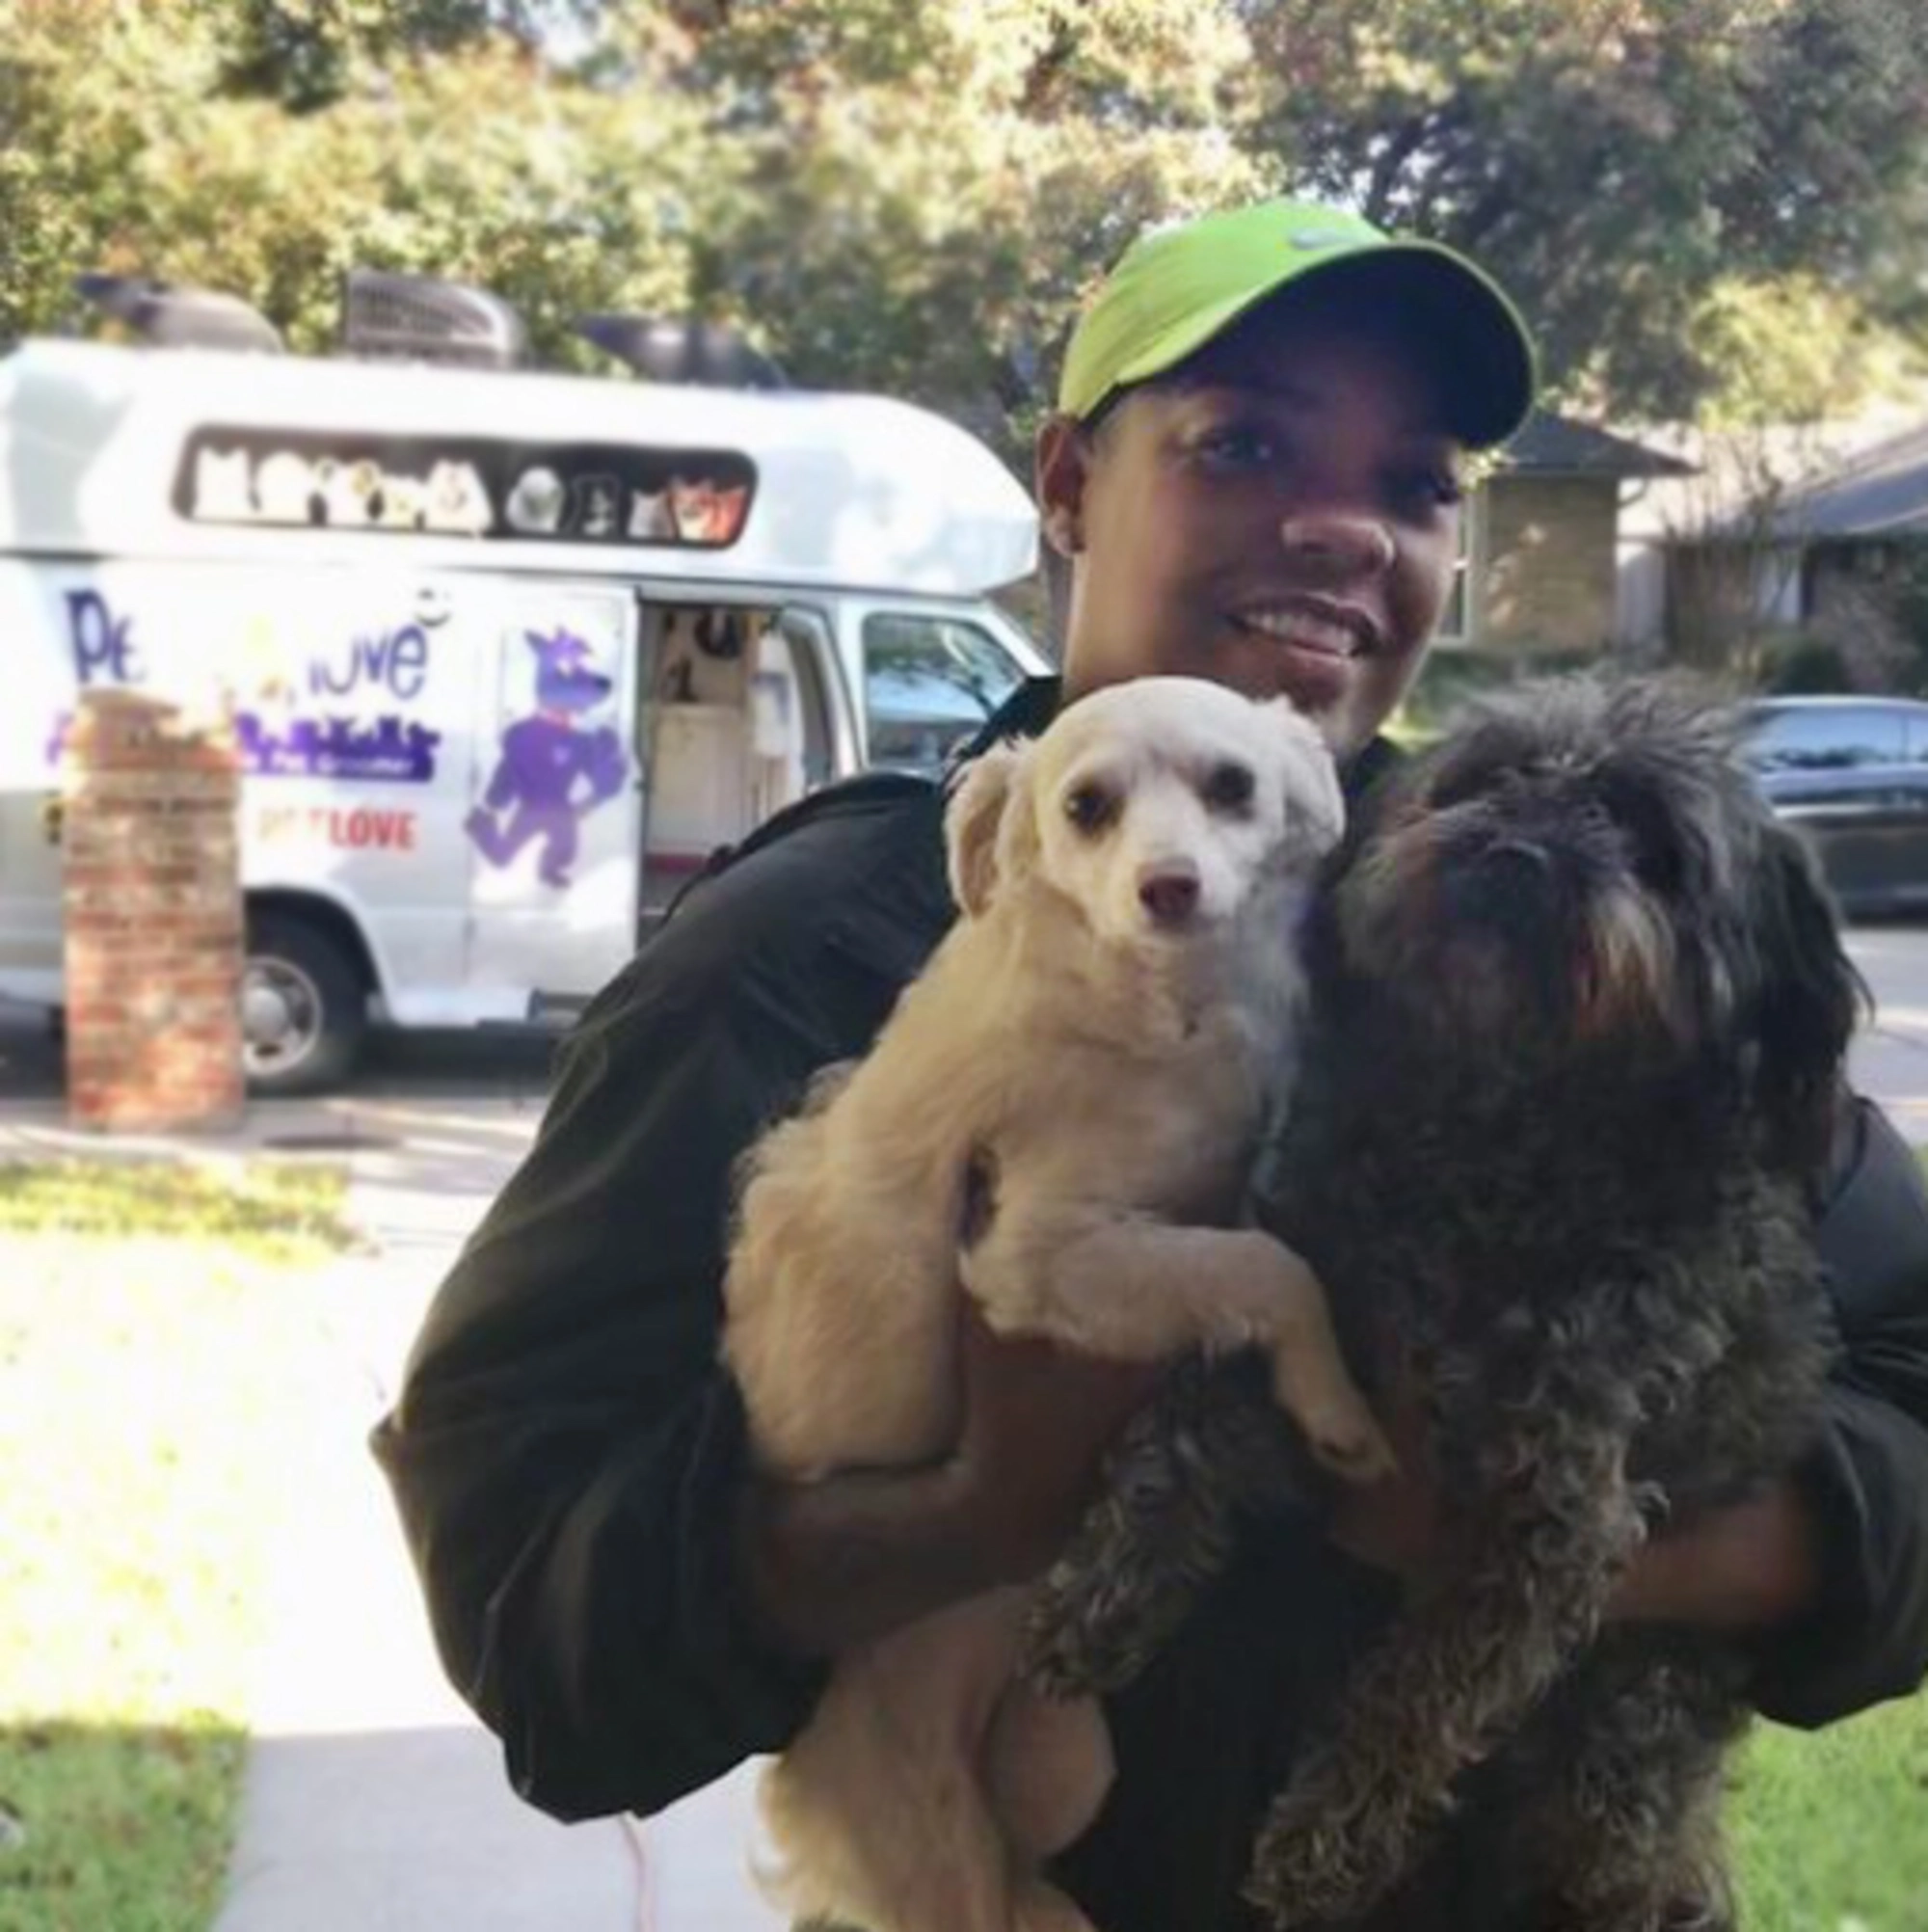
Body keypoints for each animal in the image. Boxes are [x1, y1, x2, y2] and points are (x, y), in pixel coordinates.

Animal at [726, 676, 1390, 1932]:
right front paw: (1334, 1405)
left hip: (1065, 1766)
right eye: (1086, 807)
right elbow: (1265, 1267)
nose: (1167, 886)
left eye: (1232, 785)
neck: (1167, 1009)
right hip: (932, 1839)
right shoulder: (1035, 1257)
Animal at [1035, 680, 1861, 1932]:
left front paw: (1322, 1844)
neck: (1492, 1139)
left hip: (1626, 1738)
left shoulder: (1552, 1514)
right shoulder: (1302, 1311)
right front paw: (1099, 1593)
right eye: (1482, 779)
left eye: (1647, 840)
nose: (1511, 848)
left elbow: (1421, 1693)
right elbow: (1175, 1432)